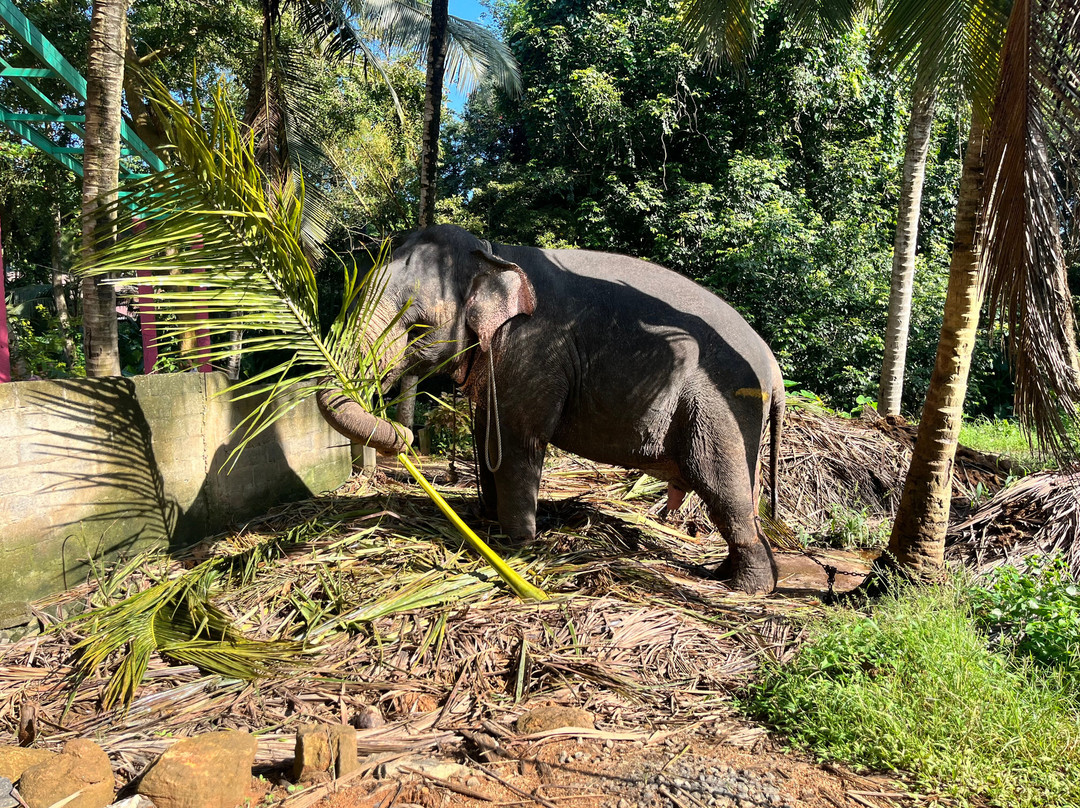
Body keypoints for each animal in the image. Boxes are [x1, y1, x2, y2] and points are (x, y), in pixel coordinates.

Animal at [317, 225, 785, 593]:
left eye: (416, 326)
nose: (404, 437)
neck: (491, 251)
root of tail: (773, 366)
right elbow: (488, 439)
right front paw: (490, 527)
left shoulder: (534, 349)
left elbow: (519, 442)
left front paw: (519, 548)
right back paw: (726, 575)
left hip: (723, 407)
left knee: (723, 490)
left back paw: (746, 589)